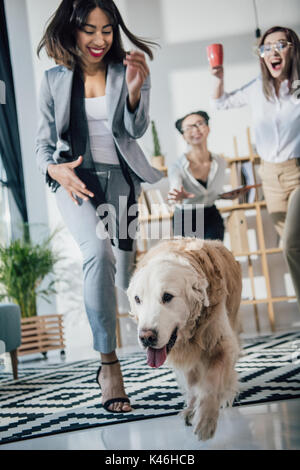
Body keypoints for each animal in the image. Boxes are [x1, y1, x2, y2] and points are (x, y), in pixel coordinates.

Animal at [127, 239, 243, 440]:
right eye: (137, 299)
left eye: (167, 296)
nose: (146, 337)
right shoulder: (185, 356)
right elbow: (192, 383)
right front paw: (192, 408)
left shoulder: (222, 343)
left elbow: (211, 381)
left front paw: (206, 420)